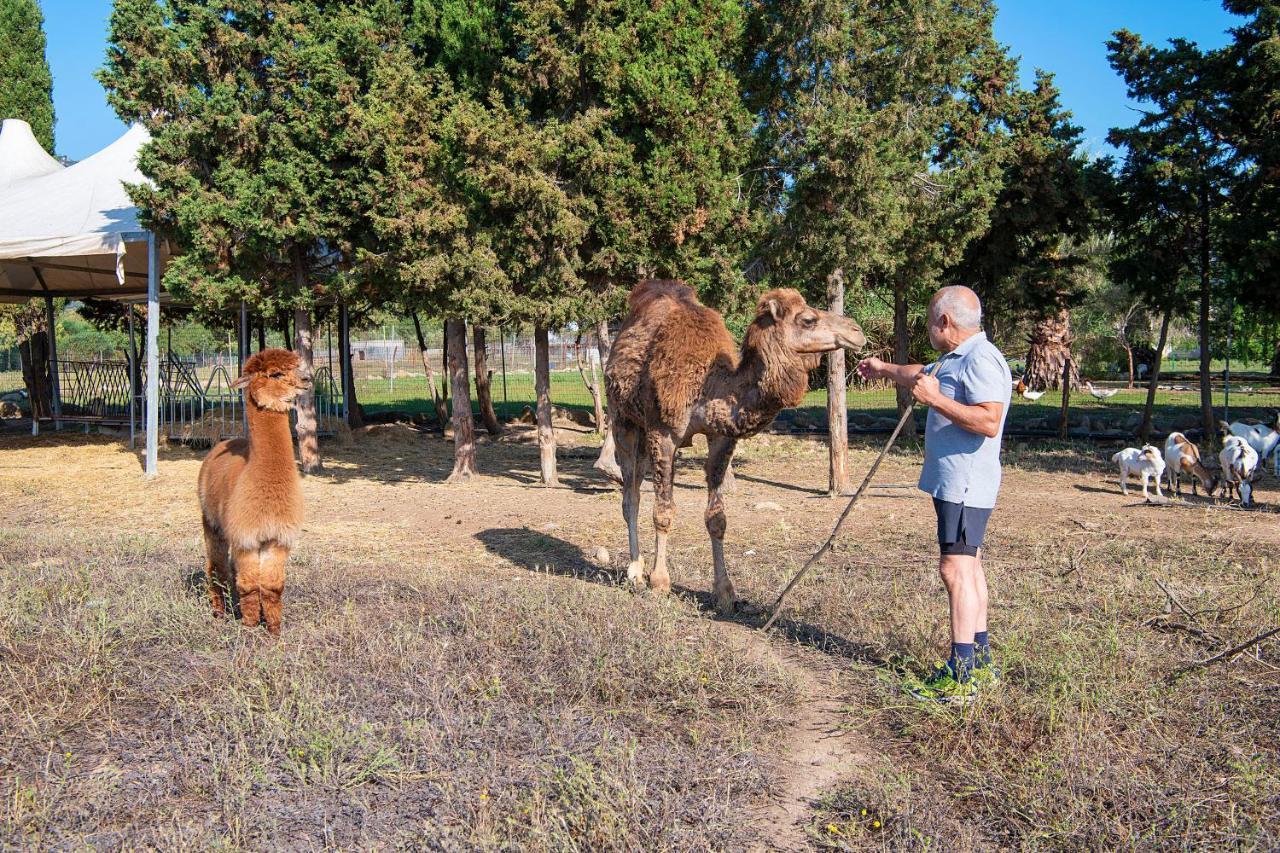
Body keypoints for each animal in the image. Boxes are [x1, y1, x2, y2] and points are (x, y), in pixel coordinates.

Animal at [197, 345, 312, 630]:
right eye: (276, 373)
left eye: (296, 367)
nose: (307, 380)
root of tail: (222, 442)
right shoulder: (245, 538)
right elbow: (250, 586)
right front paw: (248, 627)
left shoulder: (277, 539)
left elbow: (272, 587)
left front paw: (274, 630)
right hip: (211, 521)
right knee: (216, 566)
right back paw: (219, 612)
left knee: (228, 568)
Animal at [601, 279, 865, 612]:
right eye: (808, 319)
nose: (856, 331)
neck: (711, 385)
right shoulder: (664, 431)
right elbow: (663, 512)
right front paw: (659, 583)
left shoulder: (721, 438)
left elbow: (717, 519)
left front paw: (725, 592)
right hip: (625, 419)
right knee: (630, 497)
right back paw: (636, 572)